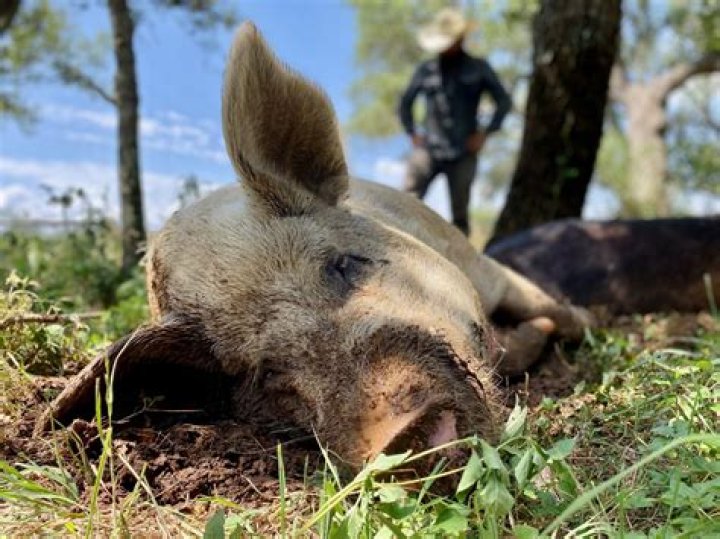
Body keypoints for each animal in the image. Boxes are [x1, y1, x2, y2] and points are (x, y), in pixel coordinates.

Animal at [36, 22, 590, 467]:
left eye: (343, 265)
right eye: (266, 371)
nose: (400, 437)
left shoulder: (484, 269)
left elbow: (554, 314)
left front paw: (579, 324)